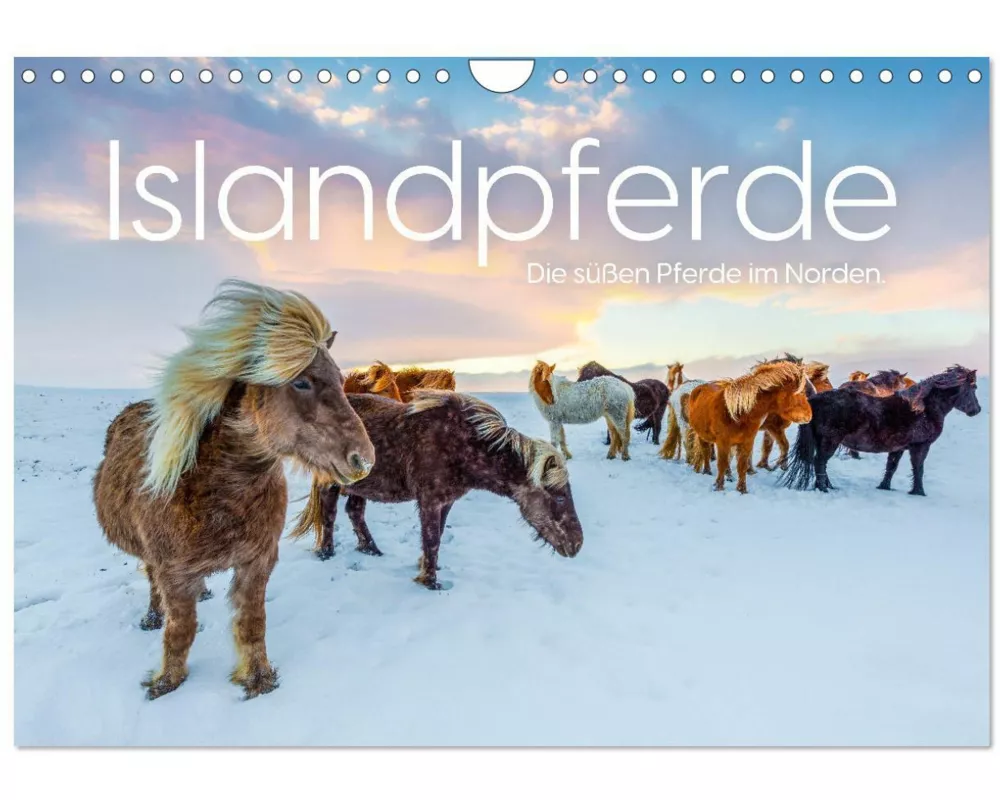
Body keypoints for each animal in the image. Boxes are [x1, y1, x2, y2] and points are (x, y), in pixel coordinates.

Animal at [92, 280, 375, 700]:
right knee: (151, 581)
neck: (219, 492)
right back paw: (152, 616)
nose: (364, 460)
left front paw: (258, 680)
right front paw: (166, 683)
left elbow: (252, 623)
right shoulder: (174, 572)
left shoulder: (257, 562)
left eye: (342, 381)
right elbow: (180, 631)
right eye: (301, 381)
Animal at [290, 391, 583, 589]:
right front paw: (430, 582)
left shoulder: (446, 501)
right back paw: (326, 552)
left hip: (361, 485)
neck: (463, 445)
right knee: (329, 513)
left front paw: (428, 567)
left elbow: (438, 535)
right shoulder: (430, 500)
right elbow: (431, 538)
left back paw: (371, 550)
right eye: (559, 497)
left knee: (354, 511)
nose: (577, 544)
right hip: (331, 483)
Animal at [687, 361, 814, 493]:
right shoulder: (723, 441)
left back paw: (729, 476)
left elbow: (742, 465)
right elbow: (721, 464)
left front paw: (742, 490)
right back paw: (707, 472)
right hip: (702, 435)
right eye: (801, 392)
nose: (809, 416)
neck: (737, 413)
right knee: (706, 452)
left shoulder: (747, 441)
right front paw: (719, 487)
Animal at [782, 366, 980, 496]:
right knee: (820, 462)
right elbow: (918, 469)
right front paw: (919, 492)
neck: (922, 409)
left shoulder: (899, 448)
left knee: (820, 463)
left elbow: (891, 467)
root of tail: (814, 399)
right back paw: (823, 489)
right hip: (830, 441)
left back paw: (828, 486)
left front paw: (884, 487)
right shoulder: (921, 446)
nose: (977, 410)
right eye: (973, 388)